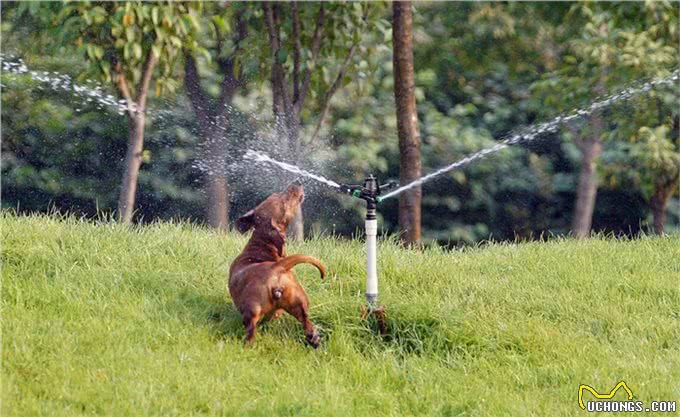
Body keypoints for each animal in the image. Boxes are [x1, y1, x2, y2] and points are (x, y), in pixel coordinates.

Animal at [228, 184, 326, 346]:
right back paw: (313, 337)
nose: (296, 183)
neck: (262, 244)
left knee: (251, 329)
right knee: (305, 319)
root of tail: (276, 268)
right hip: (298, 301)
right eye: (283, 200)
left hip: (253, 310)